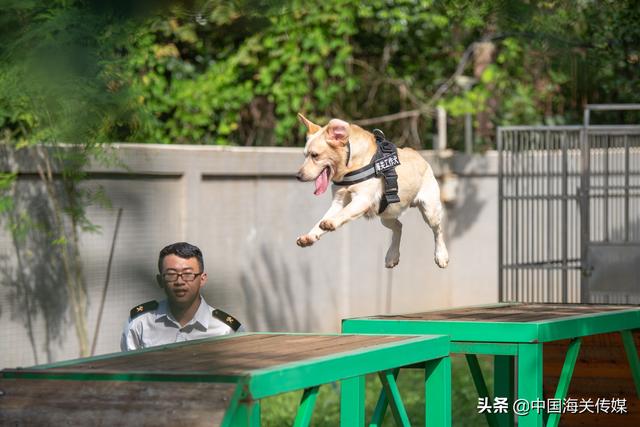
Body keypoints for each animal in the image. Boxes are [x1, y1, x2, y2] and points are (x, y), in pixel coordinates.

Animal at [296, 113, 450, 268]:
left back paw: (441, 255)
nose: (298, 176)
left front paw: (331, 223)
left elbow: (344, 213)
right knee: (399, 227)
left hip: (430, 211)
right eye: (305, 155)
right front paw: (310, 236)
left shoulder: (362, 200)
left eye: (315, 155)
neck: (349, 164)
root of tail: (420, 156)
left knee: (438, 230)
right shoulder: (338, 202)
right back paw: (392, 256)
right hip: (387, 214)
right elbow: (322, 220)